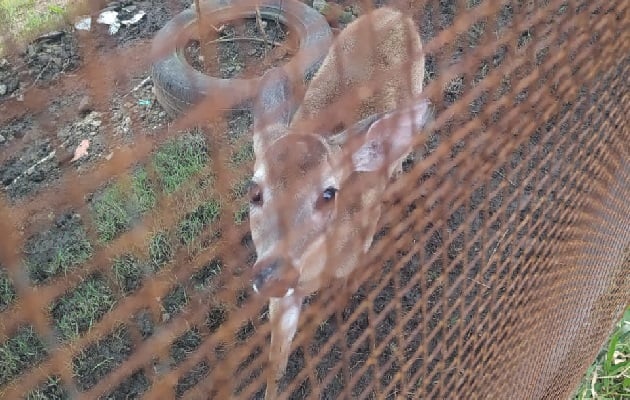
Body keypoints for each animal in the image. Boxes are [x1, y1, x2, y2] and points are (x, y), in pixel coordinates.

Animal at [244, 5, 432, 396]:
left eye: (328, 193)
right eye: (254, 192)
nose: (273, 273)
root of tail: (393, 10)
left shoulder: (359, 248)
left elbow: (344, 292)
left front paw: (339, 315)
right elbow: (276, 360)